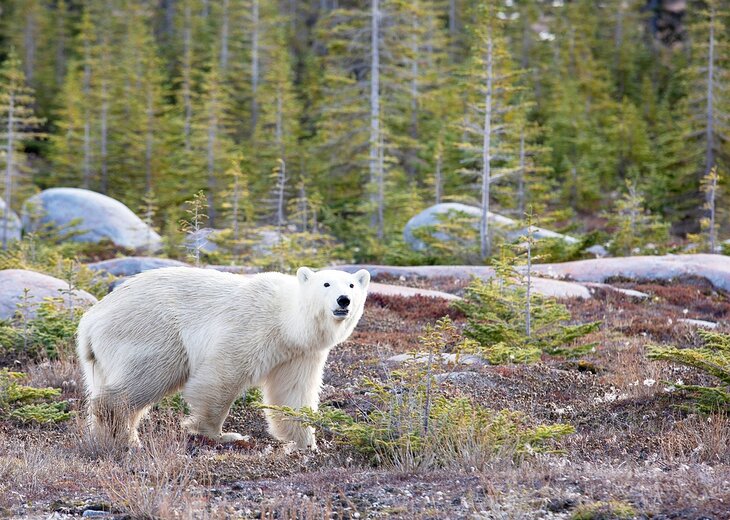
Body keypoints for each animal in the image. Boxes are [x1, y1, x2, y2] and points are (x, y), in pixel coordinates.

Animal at [76, 266, 370, 448]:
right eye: (326, 283)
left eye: (352, 285)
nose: (343, 300)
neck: (287, 322)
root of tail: (90, 321)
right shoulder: (251, 327)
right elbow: (221, 376)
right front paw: (221, 434)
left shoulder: (300, 354)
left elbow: (293, 394)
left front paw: (306, 442)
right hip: (152, 331)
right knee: (145, 377)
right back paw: (126, 437)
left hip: (98, 361)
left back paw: (108, 436)